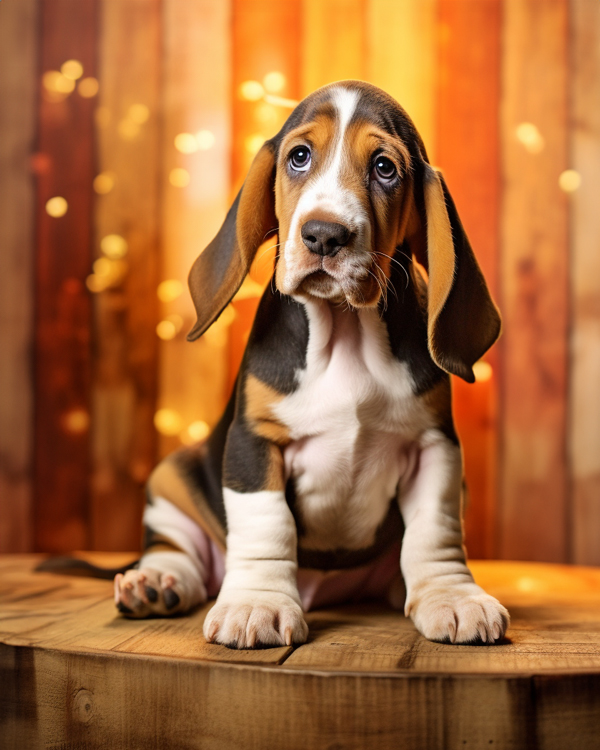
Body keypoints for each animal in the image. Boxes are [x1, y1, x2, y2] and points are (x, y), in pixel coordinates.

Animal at [115, 79, 508, 648]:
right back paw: (156, 584)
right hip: (173, 476)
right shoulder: (254, 442)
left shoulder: (435, 446)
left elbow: (435, 530)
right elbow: (266, 524)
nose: (324, 234)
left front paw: (453, 596)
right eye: (299, 156)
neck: (345, 332)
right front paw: (257, 604)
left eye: (385, 168)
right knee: (180, 551)